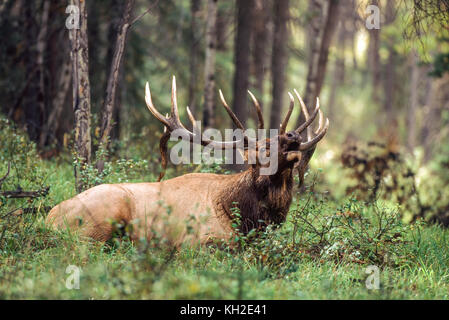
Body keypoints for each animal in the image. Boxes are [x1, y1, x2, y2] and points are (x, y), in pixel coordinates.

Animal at [46, 77, 328, 245]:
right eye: (263, 147)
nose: (293, 136)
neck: (245, 219)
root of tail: (49, 218)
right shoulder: (198, 242)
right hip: (106, 213)